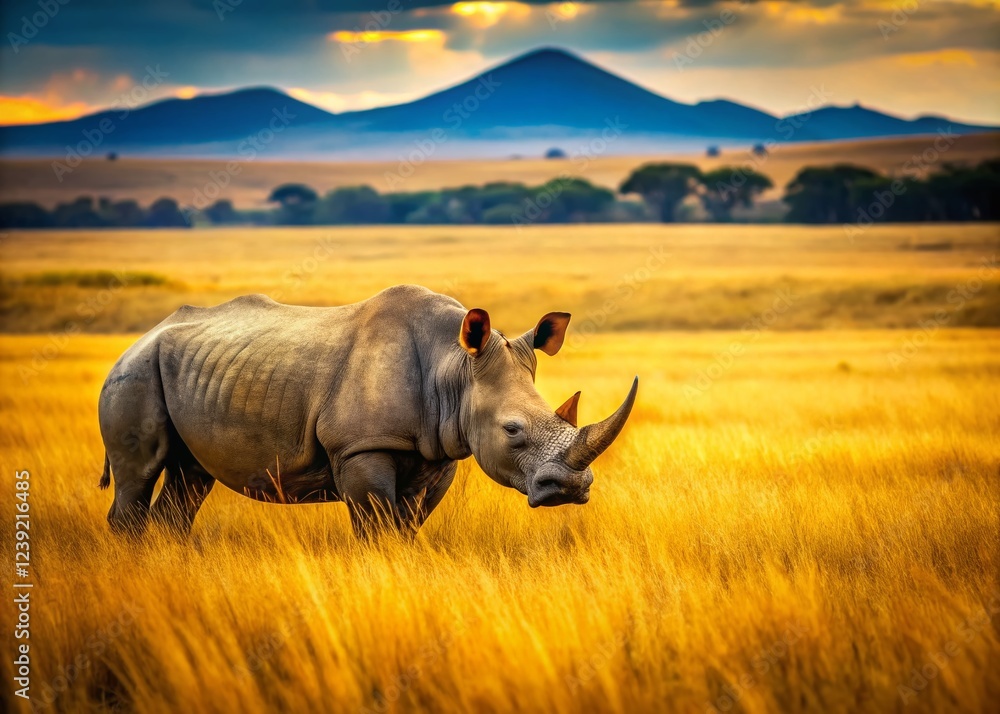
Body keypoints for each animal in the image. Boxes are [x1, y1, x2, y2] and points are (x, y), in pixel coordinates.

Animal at [98, 285, 638, 537]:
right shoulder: (360, 447)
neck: (454, 368)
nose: (569, 490)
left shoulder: (438, 451)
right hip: (134, 371)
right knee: (139, 474)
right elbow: (376, 528)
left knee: (191, 478)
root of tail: (137, 339)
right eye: (512, 430)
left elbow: (407, 526)